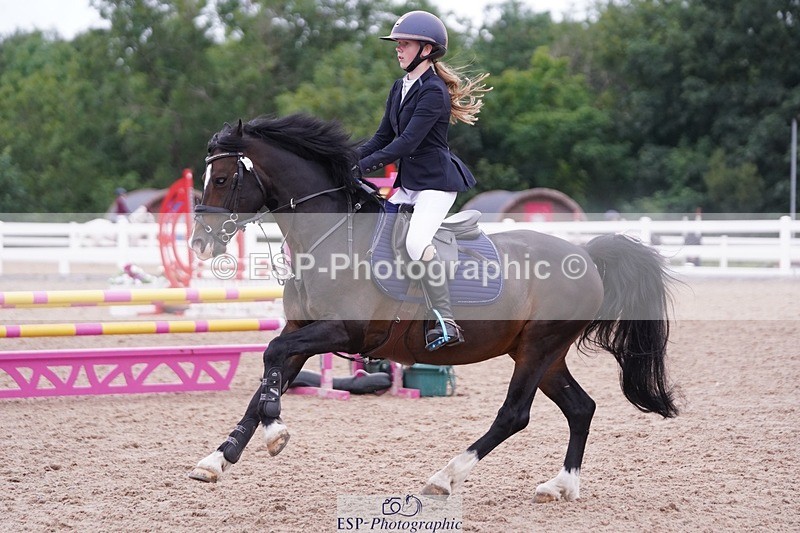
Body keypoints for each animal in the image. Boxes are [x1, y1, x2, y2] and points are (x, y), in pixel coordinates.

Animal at [187, 114, 678, 503]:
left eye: (224, 179)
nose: (200, 243)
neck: (331, 236)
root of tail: (587, 256)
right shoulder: (302, 329)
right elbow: (267, 379)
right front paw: (218, 459)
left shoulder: (343, 330)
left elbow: (271, 356)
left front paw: (275, 435)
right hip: (541, 353)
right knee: (580, 408)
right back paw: (561, 486)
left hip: (539, 348)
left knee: (515, 414)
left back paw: (445, 477)